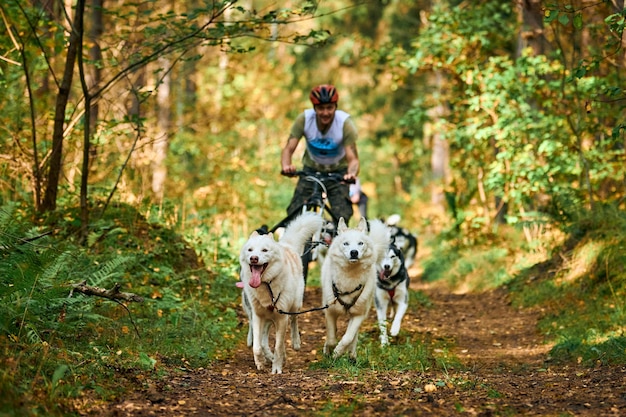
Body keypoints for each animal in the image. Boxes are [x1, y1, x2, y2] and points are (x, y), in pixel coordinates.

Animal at [239, 211, 322, 374]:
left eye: (264, 250)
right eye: (250, 250)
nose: (253, 258)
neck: (267, 285)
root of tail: (286, 245)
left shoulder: (282, 318)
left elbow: (277, 346)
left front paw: (276, 368)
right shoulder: (258, 317)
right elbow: (257, 346)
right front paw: (260, 362)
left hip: (295, 305)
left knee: (294, 321)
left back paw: (295, 342)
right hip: (267, 318)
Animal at [320, 218, 388, 358]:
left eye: (360, 243)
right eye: (346, 243)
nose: (354, 252)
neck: (350, 276)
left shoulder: (359, 315)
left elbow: (348, 338)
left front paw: (338, 352)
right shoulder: (330, 312)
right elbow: (331, 338)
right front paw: (329, 350)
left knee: (353, 336)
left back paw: (352, 356)